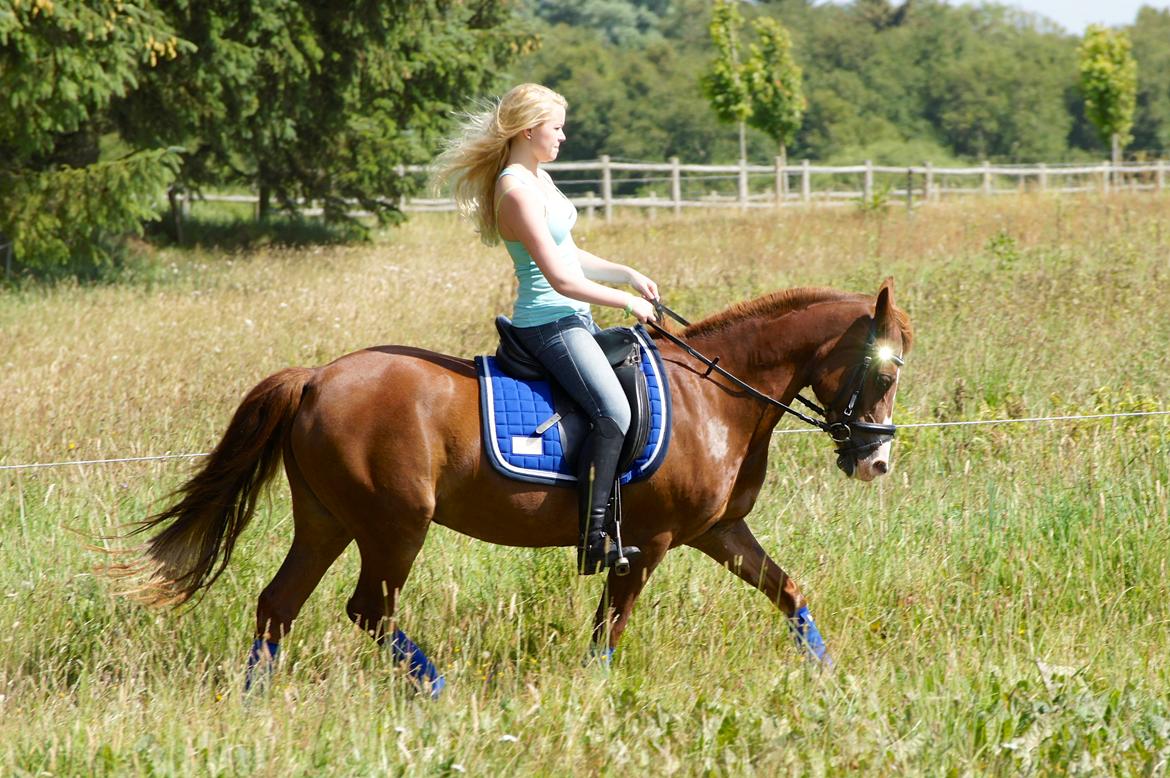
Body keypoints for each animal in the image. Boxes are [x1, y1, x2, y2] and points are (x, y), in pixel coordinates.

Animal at [128, 277, 912, 692]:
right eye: (887, 370)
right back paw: (439, 691)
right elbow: (610, 625)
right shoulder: (649, 540)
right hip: (393, 525)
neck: (714, 398)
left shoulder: (718, 530)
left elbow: (789, 591)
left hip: (327, 520)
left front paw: (830, 673)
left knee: (278, 605)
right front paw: (596, 692)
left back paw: (254, 700)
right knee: (368, 609)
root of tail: (316, 377)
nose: (874, 462)